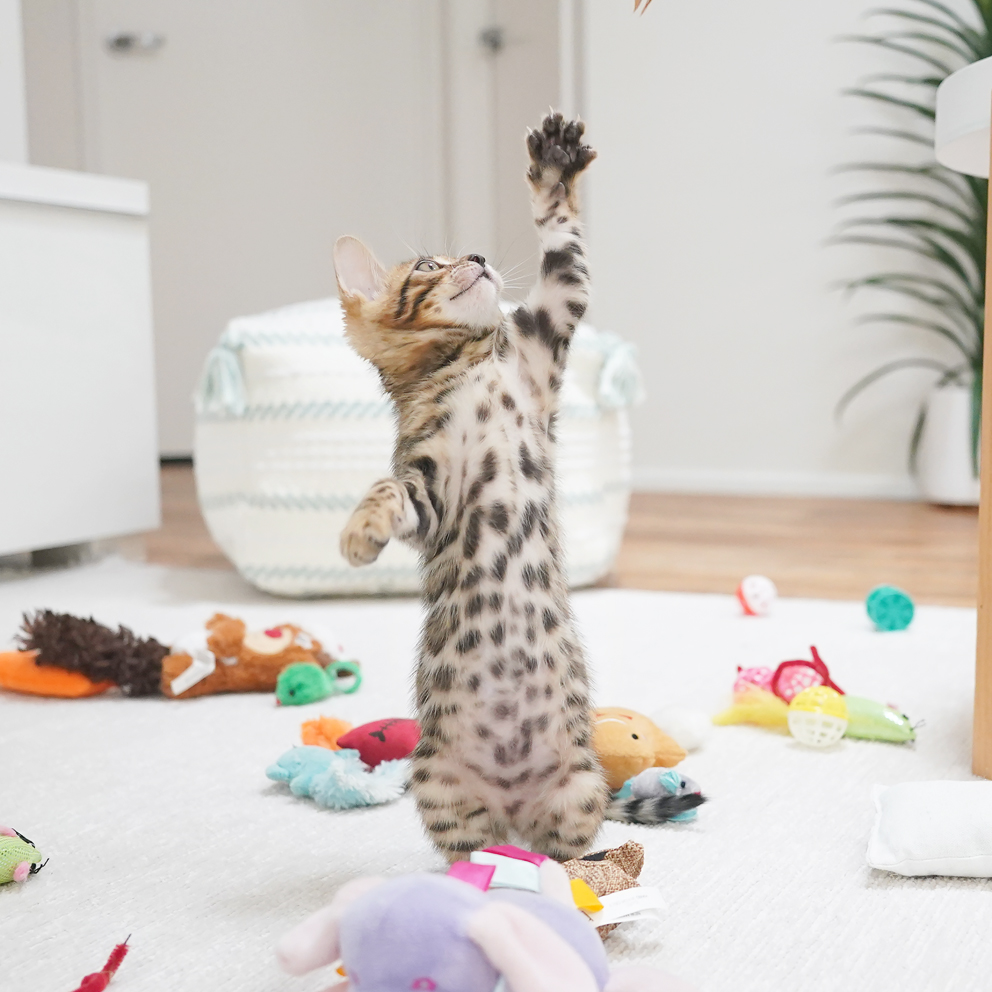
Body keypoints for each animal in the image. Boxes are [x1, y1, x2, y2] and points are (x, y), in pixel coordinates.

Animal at [336, 114, 604, 860]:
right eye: (427, 265)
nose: (479, 256)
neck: (469, 364)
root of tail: (513, 805)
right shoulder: (428, 484)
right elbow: (386, 490)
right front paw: (360, 533)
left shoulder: (548, 334)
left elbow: (564, 248)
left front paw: (555, 167)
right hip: (440, 784)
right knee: (476, 850)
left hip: (579, 787)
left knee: (561, 855)